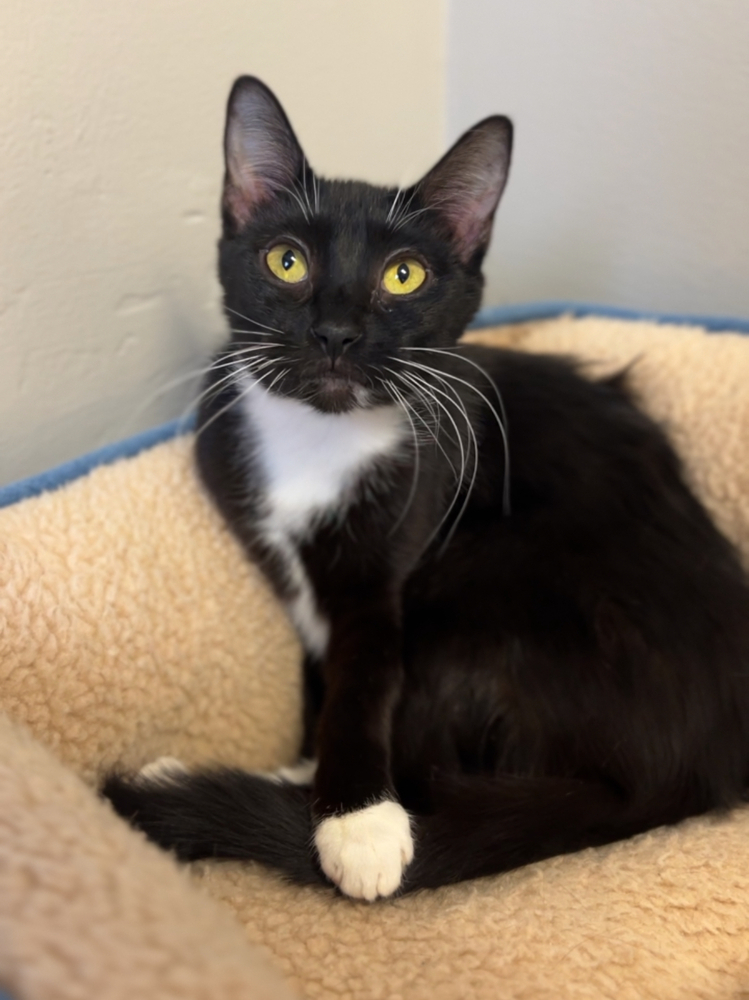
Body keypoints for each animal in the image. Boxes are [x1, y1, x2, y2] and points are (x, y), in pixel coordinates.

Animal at [103, 74, 748, 904]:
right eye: (286, 262)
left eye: (403, 275)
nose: (336, 333)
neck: (321, 441)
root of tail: (674, 779)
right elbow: (321, 674)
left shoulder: (397, 551)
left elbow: (363, 676)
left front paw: (358, 824)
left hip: (477, 585)